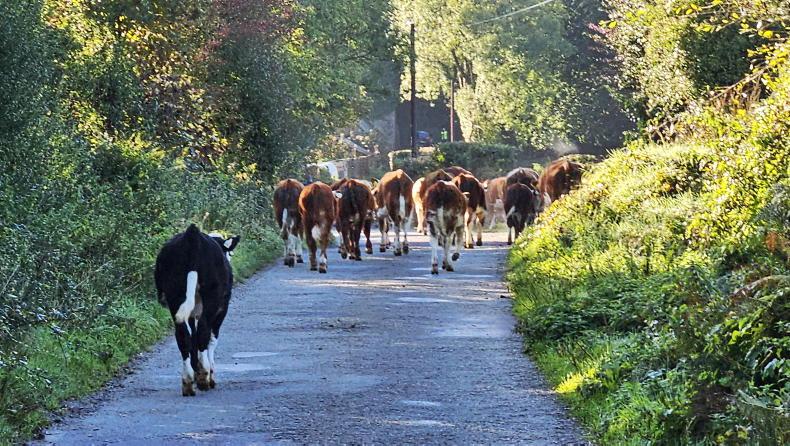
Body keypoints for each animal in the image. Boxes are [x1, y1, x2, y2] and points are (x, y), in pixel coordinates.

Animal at [155, 224, 240, 396]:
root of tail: (192, 234)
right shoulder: (222, 309)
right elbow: (211, 339)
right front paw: (207, 373)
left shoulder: (191, 313)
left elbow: (192, 338)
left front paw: (196, 369)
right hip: (212, 296)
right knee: (203, 331)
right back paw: (204, 378)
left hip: (175, 295)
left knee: (182, 335)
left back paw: (188, 381)